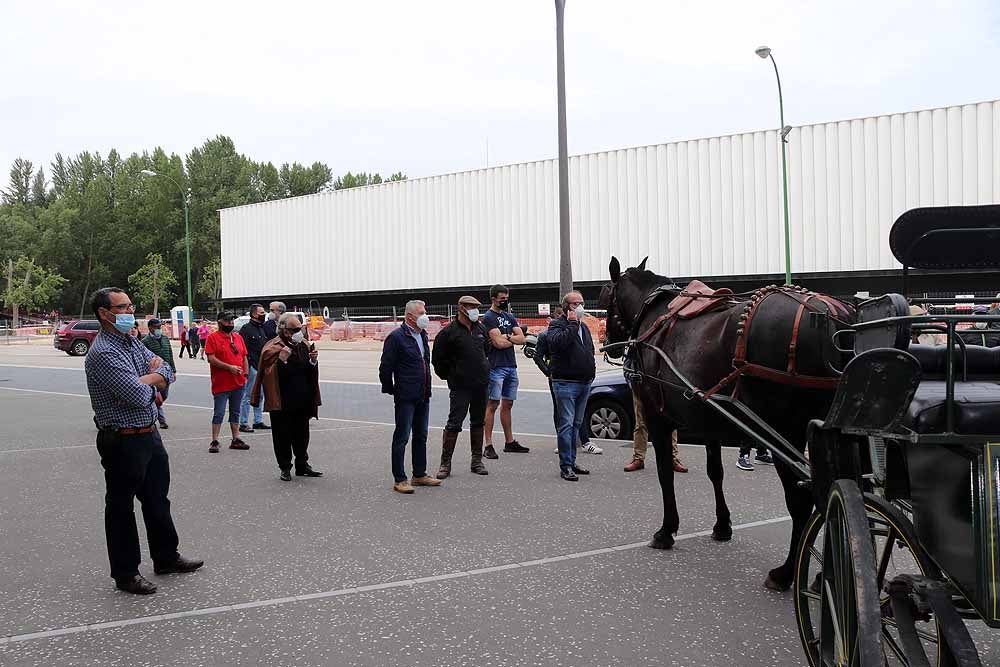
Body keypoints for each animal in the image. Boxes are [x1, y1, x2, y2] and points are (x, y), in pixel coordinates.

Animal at [596, 258, 856, 588]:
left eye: (606, 297)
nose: (609, 344)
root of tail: (834, 314)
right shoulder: (710, 421)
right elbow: (715, 473)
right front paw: (722, 525)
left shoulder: (659, 419)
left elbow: (665, 474)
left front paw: (667, 530)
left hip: (785, 433)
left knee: (803, 500)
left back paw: (786, 573)